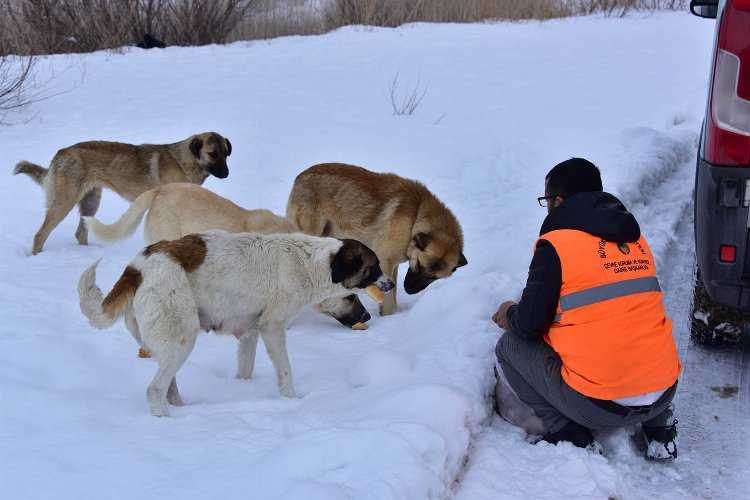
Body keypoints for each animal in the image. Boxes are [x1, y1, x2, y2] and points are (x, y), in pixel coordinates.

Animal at [12, 132, 232, 254]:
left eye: (226, 153)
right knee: (40, 235)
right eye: (212, 154)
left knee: (81, 232)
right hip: (64, 202)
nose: (226, 174)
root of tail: (61, 153)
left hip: (91, 202)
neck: (184, 161)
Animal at [78, 231, 396, 418]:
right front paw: (292, 401)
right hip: (183, 337)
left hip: (169, 343)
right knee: (155, 389)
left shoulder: (249, 333)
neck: (312, 263)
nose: (390, 284)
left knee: (169, 385)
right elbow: (285, 371)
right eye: (372, 269)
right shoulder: (272, 327)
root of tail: (137, 268)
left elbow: (245, 369)